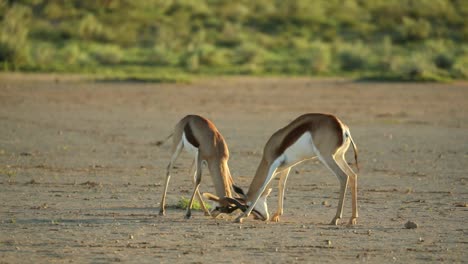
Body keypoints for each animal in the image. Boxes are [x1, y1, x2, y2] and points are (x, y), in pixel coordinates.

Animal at [223, 113, 358, 225]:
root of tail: (342, 128)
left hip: (326, 157)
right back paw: (352, 218)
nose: (261, 218)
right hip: (339, 157)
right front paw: (277, 215)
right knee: (353, 175)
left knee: (343, 177)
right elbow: (281, 184)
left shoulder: (272, 164)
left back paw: (335, 218)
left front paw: (240, 218)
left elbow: (261, 188)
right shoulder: (286, 166)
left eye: (246, 206)